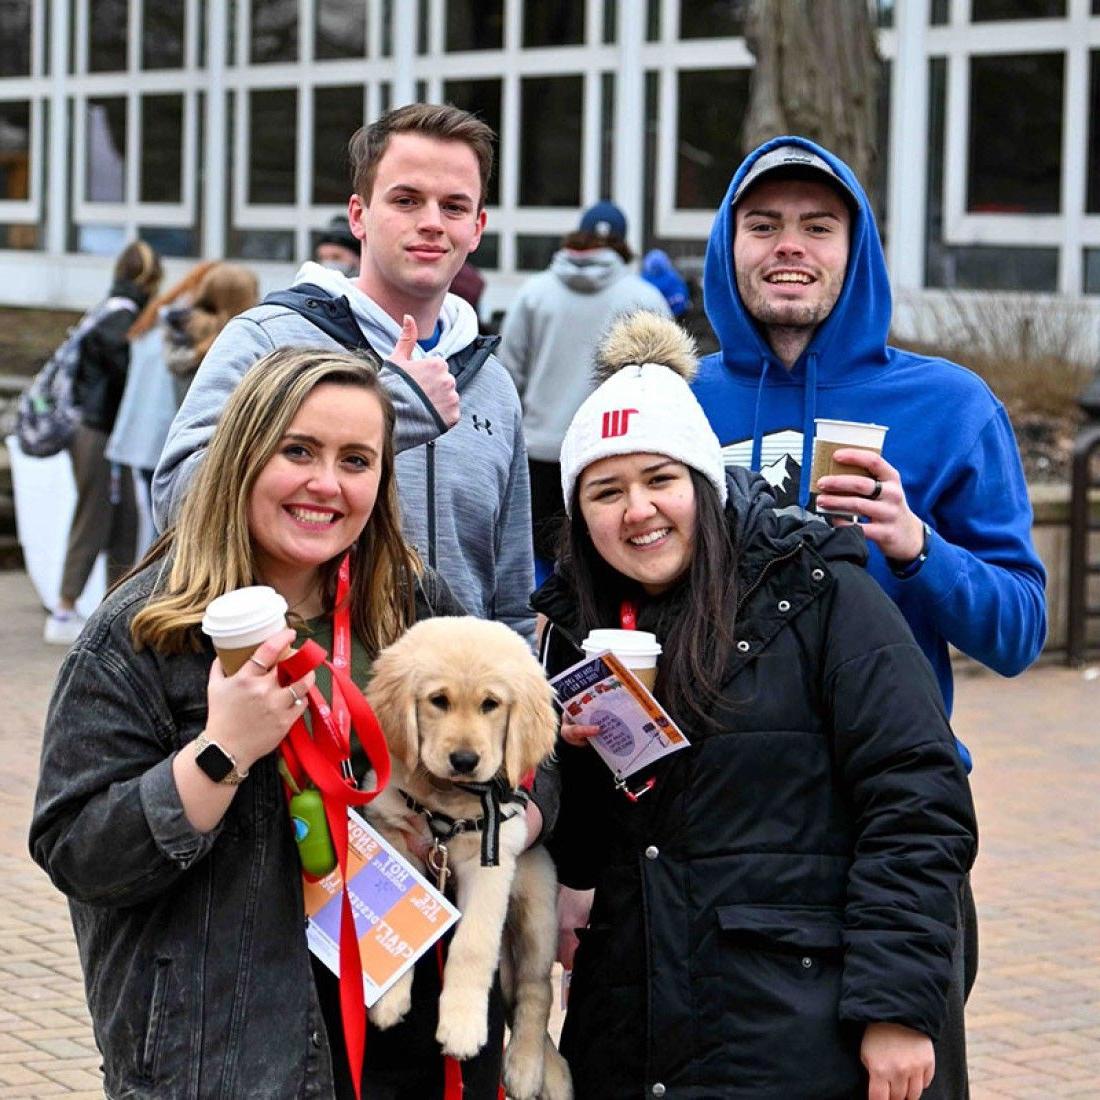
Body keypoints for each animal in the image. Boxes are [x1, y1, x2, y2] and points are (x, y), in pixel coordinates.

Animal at [369, 620, 576, 1100]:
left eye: (490, 704)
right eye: (438, 700)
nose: (464, 760)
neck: (446, 802)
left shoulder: (491, 861)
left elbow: (472, 945)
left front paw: (462, 1025)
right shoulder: (393, 834)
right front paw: (390, 996)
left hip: (537, 909)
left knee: (536, 991)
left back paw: (526, 1067)